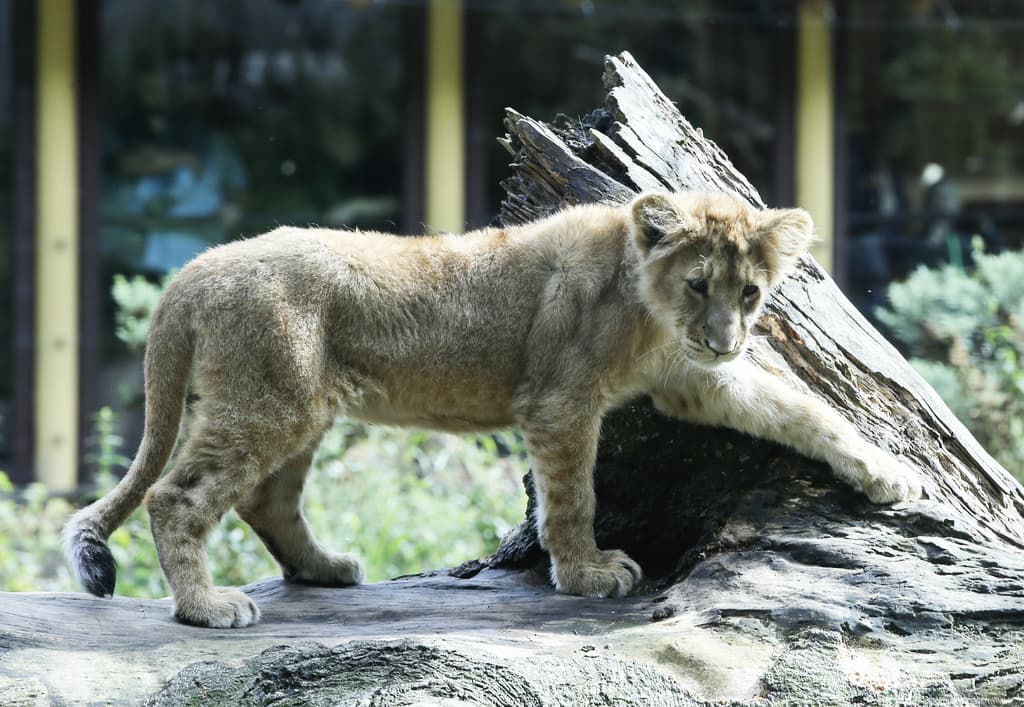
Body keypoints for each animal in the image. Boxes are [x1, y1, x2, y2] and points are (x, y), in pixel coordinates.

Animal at [64, 191, 922, 628]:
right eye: (698, 283)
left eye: (748, 292)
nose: (724, 337)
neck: (648, 304)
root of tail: (196, 267)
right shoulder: (562, 402)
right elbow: (572, 495)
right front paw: (587, 573)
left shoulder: (695, 378)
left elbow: (801, 408)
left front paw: (888, 471)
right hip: (267, 401)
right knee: (178, 495)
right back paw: (206, 606)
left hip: (299, 406)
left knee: (267, 501)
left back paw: (328, 569)